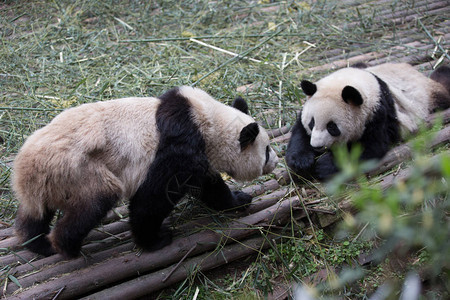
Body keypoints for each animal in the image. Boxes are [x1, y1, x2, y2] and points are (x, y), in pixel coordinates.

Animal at [13, 85, 278, 256]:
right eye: (266, 150)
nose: (275, 160)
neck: (209, 123)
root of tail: (24, 167)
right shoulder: (181, 145)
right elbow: (155, 196)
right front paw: (155, 240)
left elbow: (210, 186)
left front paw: (238, 200)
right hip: (78, 169)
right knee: (96, 200)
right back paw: (68, 247)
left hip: (48, 183)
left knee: (35, 213)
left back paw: (38, 243)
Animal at [286, 62, 450, 180]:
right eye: (312, 123)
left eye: (332, 127)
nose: (317, 146)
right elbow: (299, 133)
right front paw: (301, 162)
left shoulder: (378, 115)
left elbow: (370, 147)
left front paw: (323, 165)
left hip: (428, 98)